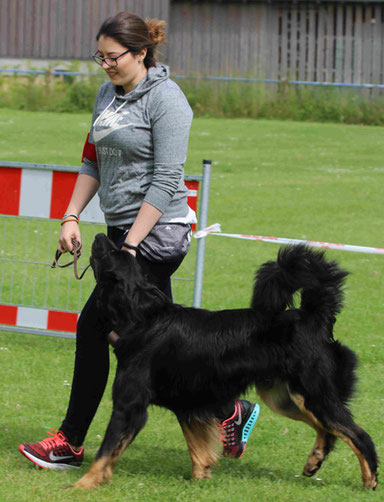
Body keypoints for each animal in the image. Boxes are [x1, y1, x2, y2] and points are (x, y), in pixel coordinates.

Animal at [73, 235, 378, 490]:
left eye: (111, 252)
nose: (99, 235)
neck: (142, 319)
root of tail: (314, 317)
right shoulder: (188, 404)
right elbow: (197, 448)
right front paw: (201, 477)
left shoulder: (130, 406)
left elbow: (107, 449)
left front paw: (83, 484)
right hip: (284, 397)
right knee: (329, 431)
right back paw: (314, 460)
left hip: (314, 394)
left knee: (358, 435)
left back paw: (369, 480)